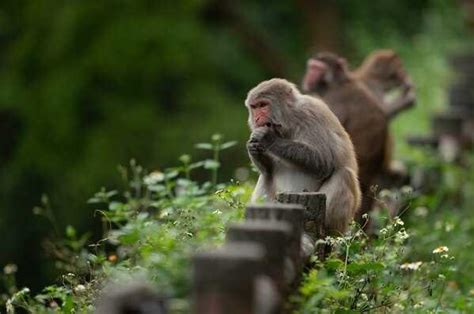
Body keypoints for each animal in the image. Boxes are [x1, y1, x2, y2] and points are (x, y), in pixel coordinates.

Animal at [246, 78, 362, 233]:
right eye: (254, 107)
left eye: (263, 105)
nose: (257, 118)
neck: (288, 122)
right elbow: (267, 171)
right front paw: (253, 148)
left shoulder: (310, 114)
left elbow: (323, 162)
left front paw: (269, 139)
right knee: (266, 176)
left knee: (344, 174)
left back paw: (326, 228)